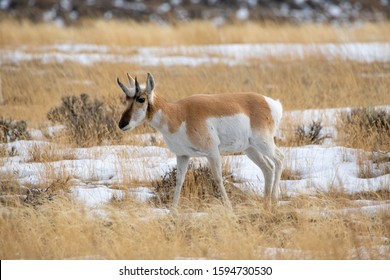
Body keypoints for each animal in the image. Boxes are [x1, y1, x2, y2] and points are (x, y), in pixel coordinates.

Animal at [116, 73, 284, 209]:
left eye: (141, 99)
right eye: (126, 99)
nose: (121, 124)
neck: (179, 114)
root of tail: (271, 103)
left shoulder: (212, 152)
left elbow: (218, 178)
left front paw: (229, 207)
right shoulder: (182, 155)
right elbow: (179, 180)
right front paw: (173, 210)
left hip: (263, 143)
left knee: (279, 159)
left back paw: (274, 200)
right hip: (250, 149)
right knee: (268, 167)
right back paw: (266, 203)